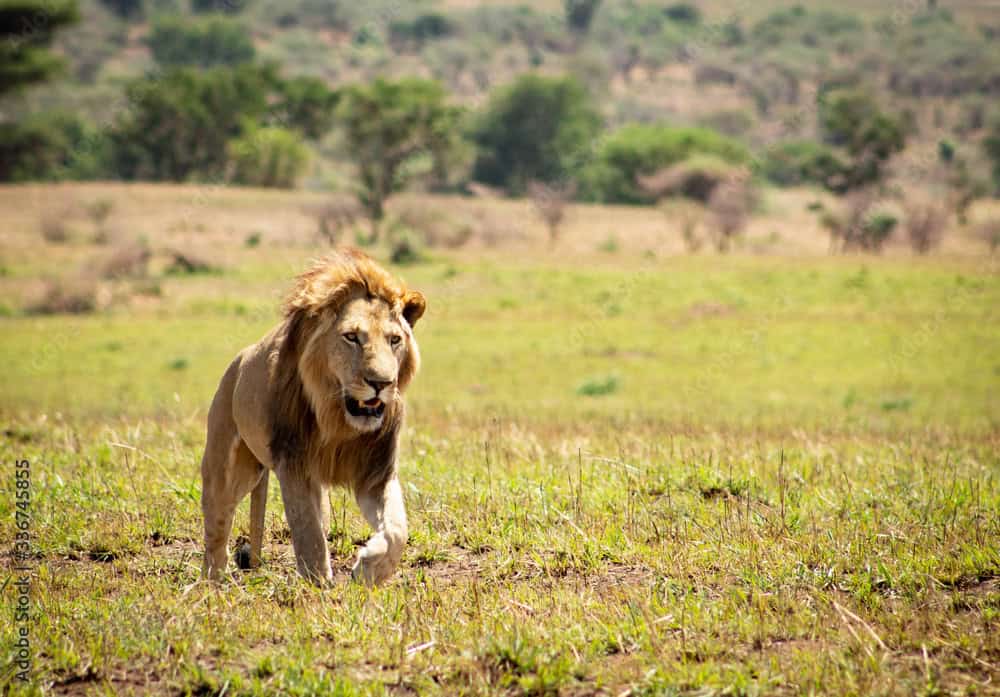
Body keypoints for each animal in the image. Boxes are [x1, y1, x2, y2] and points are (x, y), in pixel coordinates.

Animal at [201, 247, 424, 584]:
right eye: (352, 337)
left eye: (395, 340)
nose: (381, 383)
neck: (339, 419)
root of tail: (240, 359)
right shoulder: (292, 462)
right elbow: (307, 531)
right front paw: (318, 583)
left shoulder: (376, 472)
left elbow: (397, 528)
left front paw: (369, 569)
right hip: (229, 467)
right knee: (217, 525)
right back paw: (212, 580)